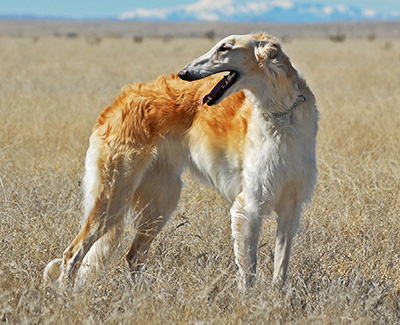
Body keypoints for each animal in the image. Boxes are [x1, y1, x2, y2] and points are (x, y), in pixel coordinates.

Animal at [44, 33, 318, 288]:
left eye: (225, 48)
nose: (184, 73)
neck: (282, 113)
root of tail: (119, 102)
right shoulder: (248, 205)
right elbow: (248, 272)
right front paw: (248, 303)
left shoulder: (291, 208)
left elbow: (280, 270)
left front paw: (277, 300)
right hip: (113, 196)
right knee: (72, 253)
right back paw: (65, 295)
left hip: (159, 201)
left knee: (133, 255)